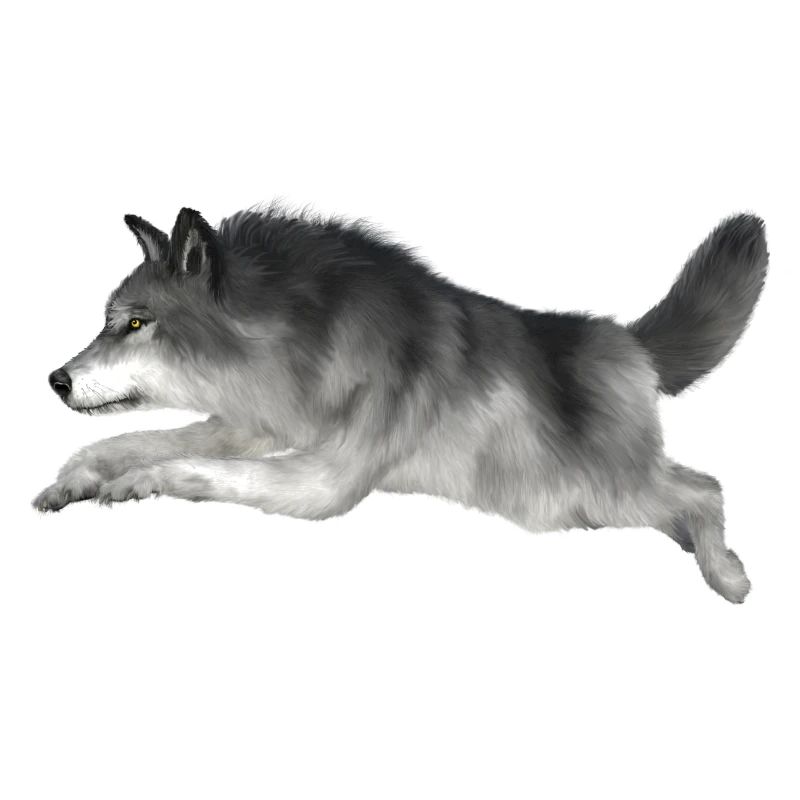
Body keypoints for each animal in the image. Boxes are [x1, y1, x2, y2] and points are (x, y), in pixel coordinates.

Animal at [33, 205, 768, 602]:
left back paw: (728, 576)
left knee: (705, 488)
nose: (55, 380)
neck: (304, 339)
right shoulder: (254, 425)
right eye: (109, 322)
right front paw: (75, 479)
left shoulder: (325, 481)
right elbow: (130, 441)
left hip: (592, 493)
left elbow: (193, 468)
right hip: (585, 502)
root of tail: (629, 341)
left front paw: (132, 484)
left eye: (136, 323)